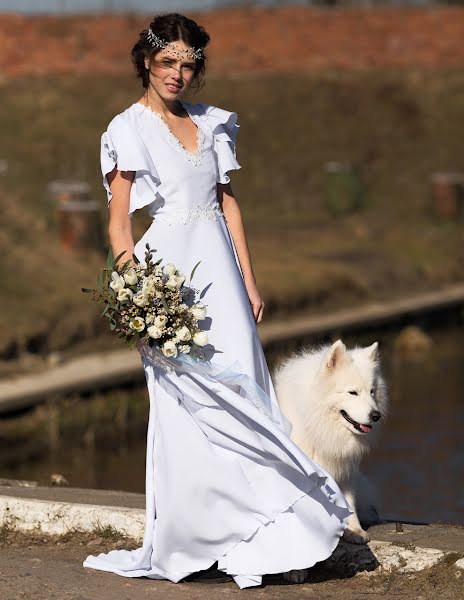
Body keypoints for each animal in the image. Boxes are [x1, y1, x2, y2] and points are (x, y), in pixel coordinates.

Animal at [274, 340, 390, 584]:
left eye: (372, 392)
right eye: (352, 392)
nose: (376, 416)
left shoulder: (344, 470)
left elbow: (349, 503)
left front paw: (354, 530)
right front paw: (295, 569)